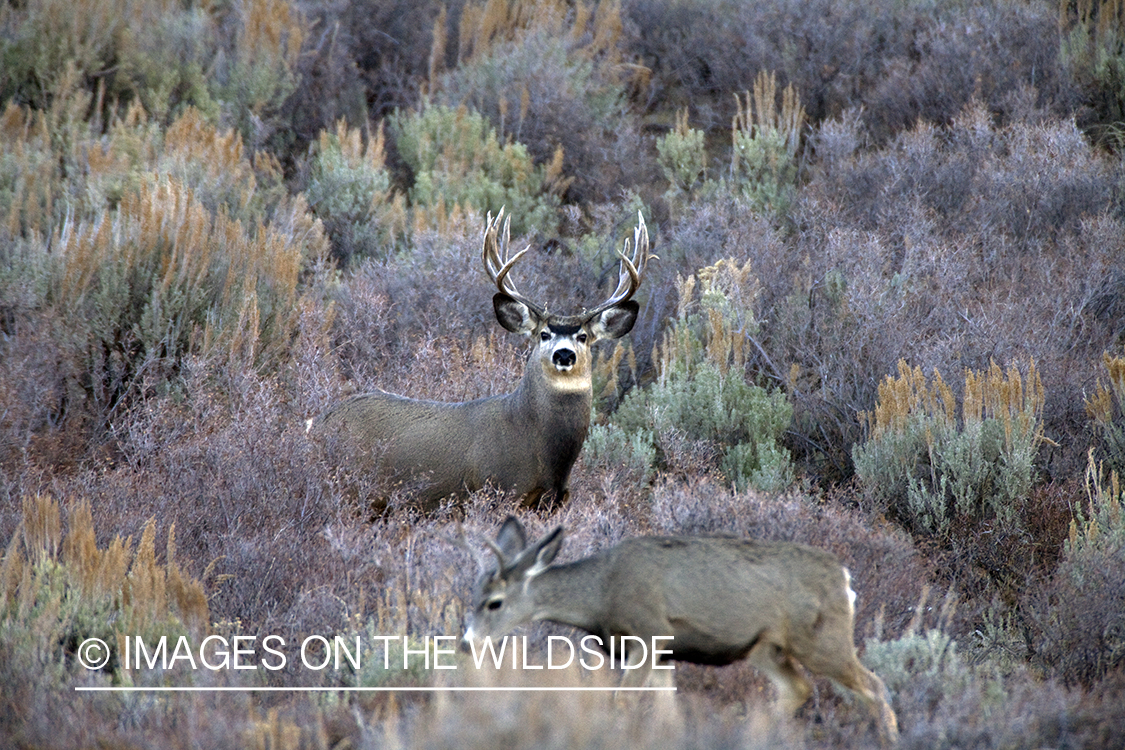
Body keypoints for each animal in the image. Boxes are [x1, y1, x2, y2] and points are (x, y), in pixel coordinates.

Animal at [308, 209, 651, 510]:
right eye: (543, 334)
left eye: (583, 337)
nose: (564, 354)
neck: (538, 444)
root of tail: (320, 421)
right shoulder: (498, 488)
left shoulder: (553, 502)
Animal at [460, 516, 900, 745]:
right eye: (473, 593)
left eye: (494, 602)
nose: (466, 644)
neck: (601, 593)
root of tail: (844, 578)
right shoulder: (661, 652)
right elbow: (668, 712)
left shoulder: (647, 633)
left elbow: (622, 700)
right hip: (766, 648)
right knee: (800, 688)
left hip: (822, 640)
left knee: (875, 686)